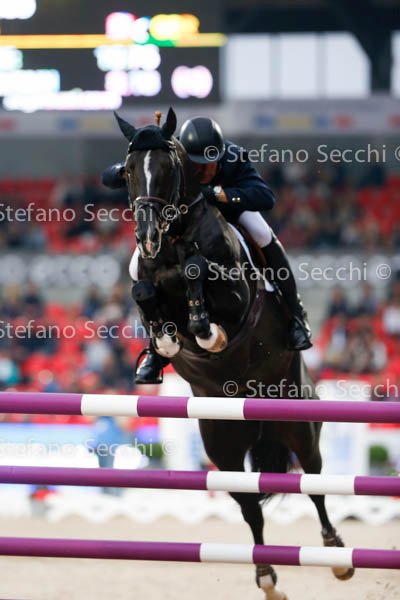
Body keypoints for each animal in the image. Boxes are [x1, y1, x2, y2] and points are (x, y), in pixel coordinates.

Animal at [113, 108, 354, 599]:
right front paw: (161, 346)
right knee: (249, 504)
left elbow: (198, 272)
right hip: (221, 443)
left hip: (299, 420)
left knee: (314, 481)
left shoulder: (235, 297)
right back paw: (265, 575)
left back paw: (336, 554)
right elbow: (144, 291)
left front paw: (204, 328)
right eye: (127, 171)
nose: (147, 236)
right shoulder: (148, 279)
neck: (176, 238)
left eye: (168, 168)